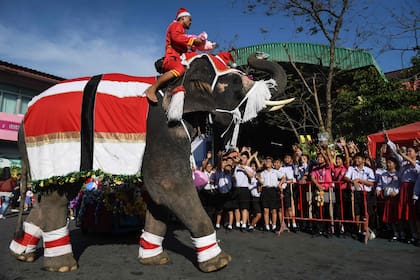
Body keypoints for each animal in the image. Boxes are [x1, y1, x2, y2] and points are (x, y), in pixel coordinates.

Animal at [8, 52, 290, 272]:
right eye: (234, 83)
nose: (258, 56)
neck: (180, 80)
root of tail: (25, 115)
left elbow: (156, 194)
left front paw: (155, 260)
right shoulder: (164, 126)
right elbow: (167, 186)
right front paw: (219, 262)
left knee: (55, 193)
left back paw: (21, 253)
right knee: (58, 196)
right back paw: (63, 265)